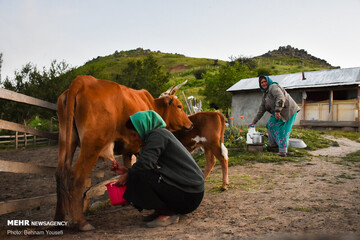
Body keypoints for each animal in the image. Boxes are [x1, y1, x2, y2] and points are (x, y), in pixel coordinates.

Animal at [54, 76, 191, 230]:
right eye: (179, 106)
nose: (190, 123)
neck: (152, 106)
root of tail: (82, 81)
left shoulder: (128, 150)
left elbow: (128, 167)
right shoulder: (141, 146)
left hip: (66, 140)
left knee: (60, 173)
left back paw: (58, 220)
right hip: (92, 144)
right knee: (76, 176)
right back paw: (82, 222)